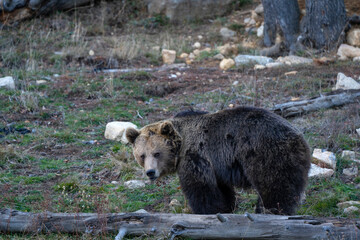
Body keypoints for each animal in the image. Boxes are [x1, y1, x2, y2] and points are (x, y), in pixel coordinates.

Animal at [125, 106, 310, 215]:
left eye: (157, 153)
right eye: (142, 155)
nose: (150, 172)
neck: (181, 144)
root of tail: (297, 135)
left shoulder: (196, 156)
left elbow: (201, 188)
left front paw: (206, 210)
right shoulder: (216, 164)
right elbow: (221, 189)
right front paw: (226, 207)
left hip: (265, 152)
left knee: (273, 185)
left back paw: (270, 210)